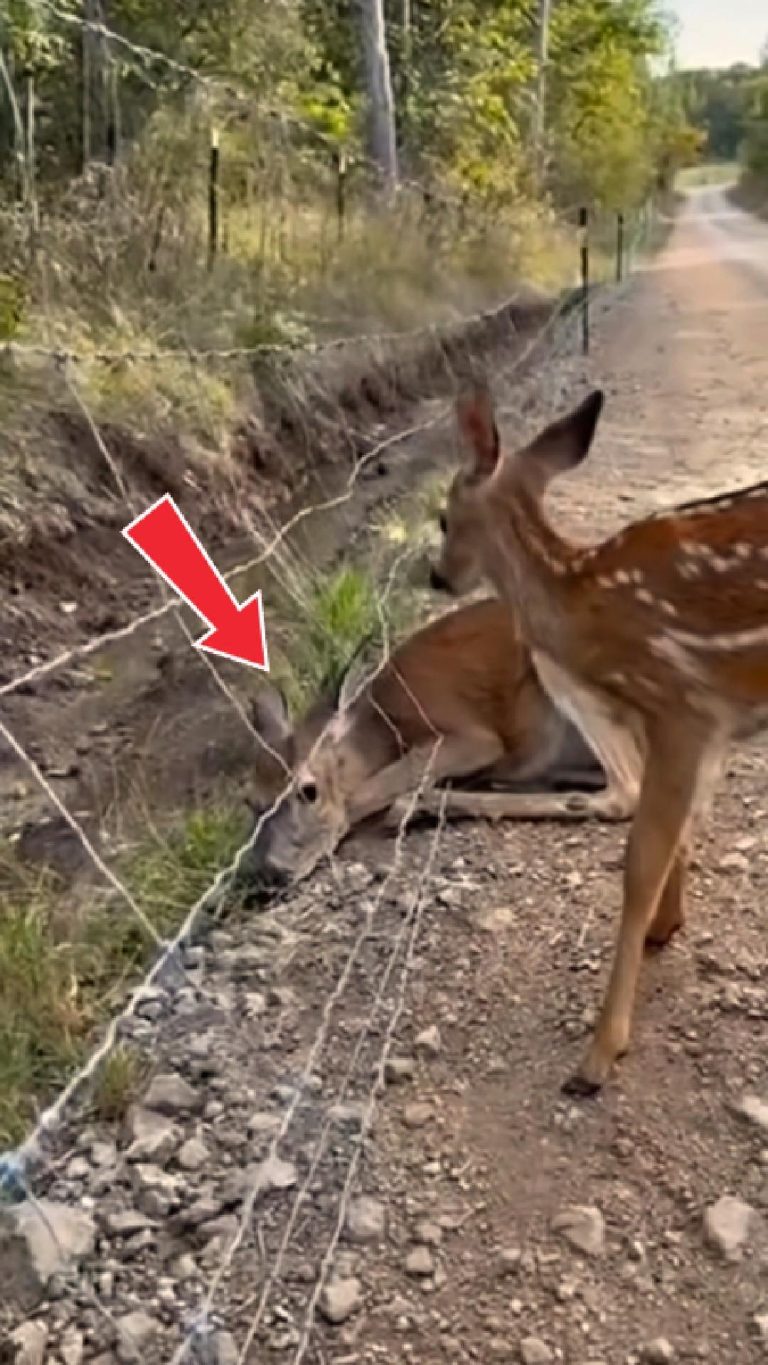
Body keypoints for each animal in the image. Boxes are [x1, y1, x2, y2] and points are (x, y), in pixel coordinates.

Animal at [239, 595, 640, 890]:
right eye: (250, 802)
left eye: (309, 791)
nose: (271, 871)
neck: (382, 726)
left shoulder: (472, 736)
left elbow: (365, 793)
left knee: (625, 792)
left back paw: (426, 803)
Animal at [430, 380, 768, 1096]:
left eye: (443, 519)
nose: (436, 577)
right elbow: (679, 832)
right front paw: (667, 928)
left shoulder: (685, 706)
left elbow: (640, 861)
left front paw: (597, 1055)